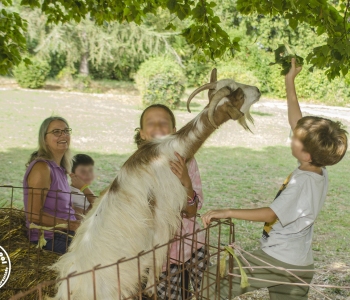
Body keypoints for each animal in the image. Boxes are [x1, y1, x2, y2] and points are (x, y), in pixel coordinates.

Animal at [47, 69, 260, 298]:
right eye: (239, 95)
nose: (258, 90)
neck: (171, 150)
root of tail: (73, 286)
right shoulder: (164, 212)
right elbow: (158, 252)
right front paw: (151, 287)